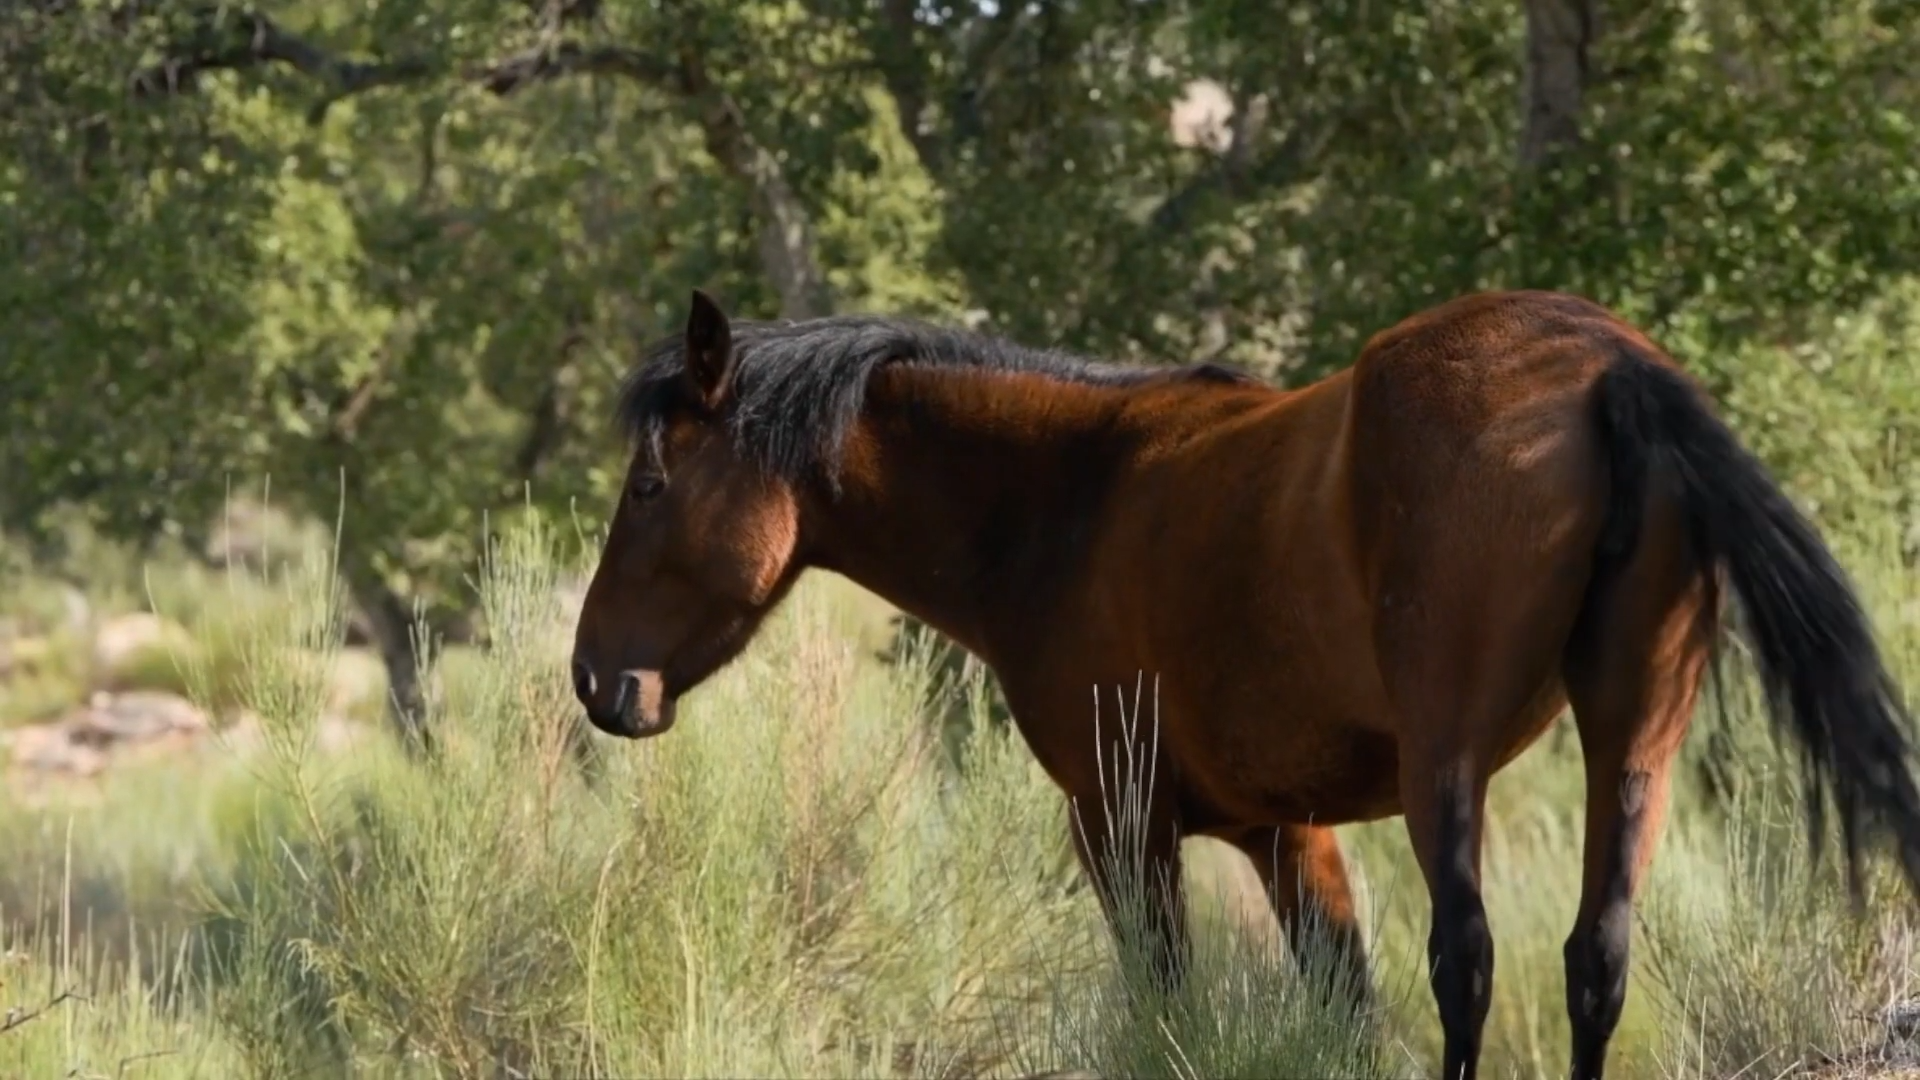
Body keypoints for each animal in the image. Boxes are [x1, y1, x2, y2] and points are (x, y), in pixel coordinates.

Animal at [569, 287, 1920, 1080]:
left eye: (649, 485)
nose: (595, 681)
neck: (1071, 500)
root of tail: (1599, 369)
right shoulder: (1288, 834)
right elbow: (1341, 1005)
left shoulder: (1123, 827)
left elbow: (1167, 1004)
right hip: (1633, 742)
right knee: (1597, 959)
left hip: (1448, 769)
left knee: (1471, 960)